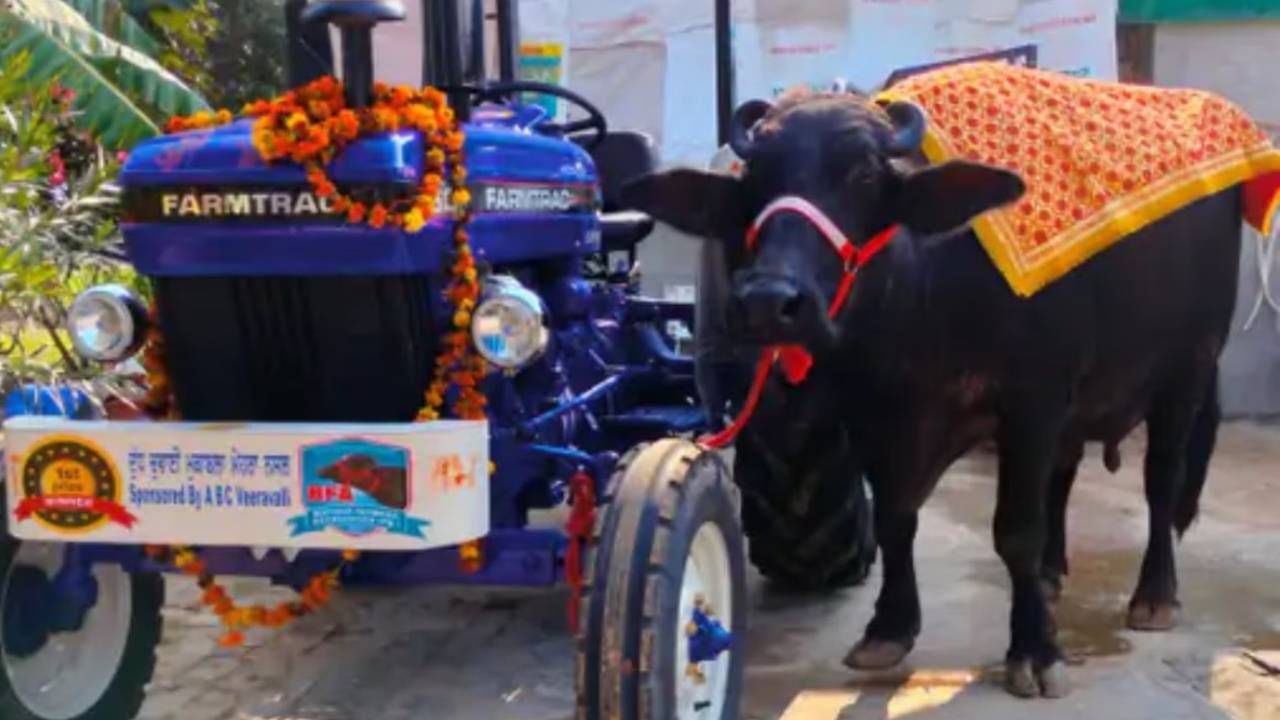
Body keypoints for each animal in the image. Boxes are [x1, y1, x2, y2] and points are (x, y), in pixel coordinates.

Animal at [624, 89, 1233, 696]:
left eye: (864, 176)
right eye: (755, 180)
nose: (768, 300)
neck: (919, 309)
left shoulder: (1031, 405)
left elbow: (1017, 530)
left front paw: (1035, 651)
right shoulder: (871, 415)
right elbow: (896, 518)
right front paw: (888, 629)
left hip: (1189, 368)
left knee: (1162, 482)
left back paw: (1154, 597)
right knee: (1064, 475)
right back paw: (1051, 575)